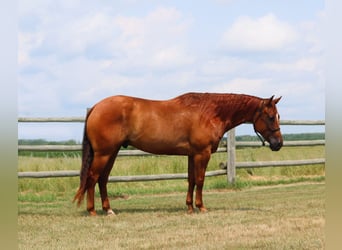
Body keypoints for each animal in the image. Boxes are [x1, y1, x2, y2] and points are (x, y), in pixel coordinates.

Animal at [73, 92, 284, 215]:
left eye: (278, 116)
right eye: (270, 117)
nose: (279, 144)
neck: (209, 112)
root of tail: (96, 107)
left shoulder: (192, 155)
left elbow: (191, 180)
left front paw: (189, 206)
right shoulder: (202, 154)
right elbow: (200, 180)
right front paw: (201, 207)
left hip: (112, 152)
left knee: (102, 179)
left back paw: (108, 209)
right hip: (104, 153)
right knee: (92, 177)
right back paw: (92, 211)